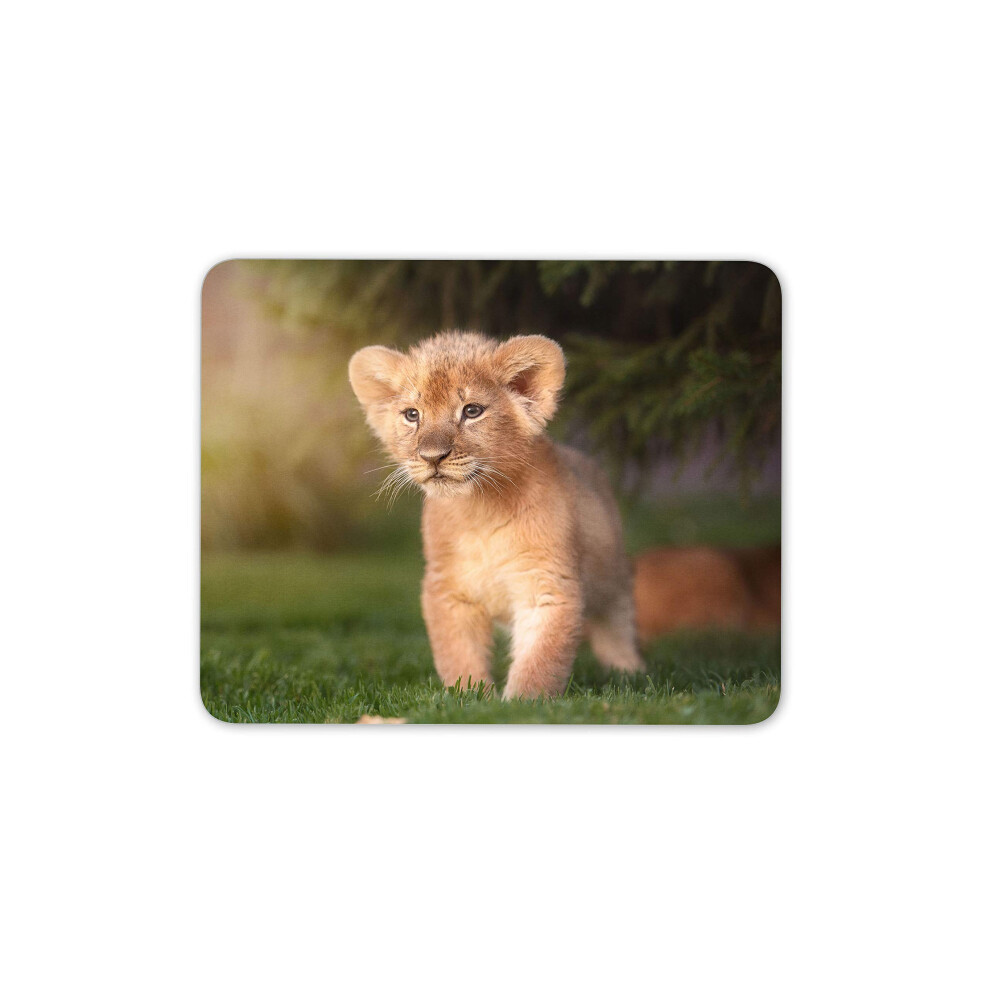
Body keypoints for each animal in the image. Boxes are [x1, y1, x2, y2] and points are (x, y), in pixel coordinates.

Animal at [348, 330, 644, 699]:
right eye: (412, 414)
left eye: (472, 411)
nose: (432, 456)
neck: (480, 511)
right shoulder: (447, 589)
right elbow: (458, 655)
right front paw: (470, 697)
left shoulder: (547, 585)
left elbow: (539, 662)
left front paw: (519, 703)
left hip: (613, 574)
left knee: (617, 623)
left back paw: (629, 672)